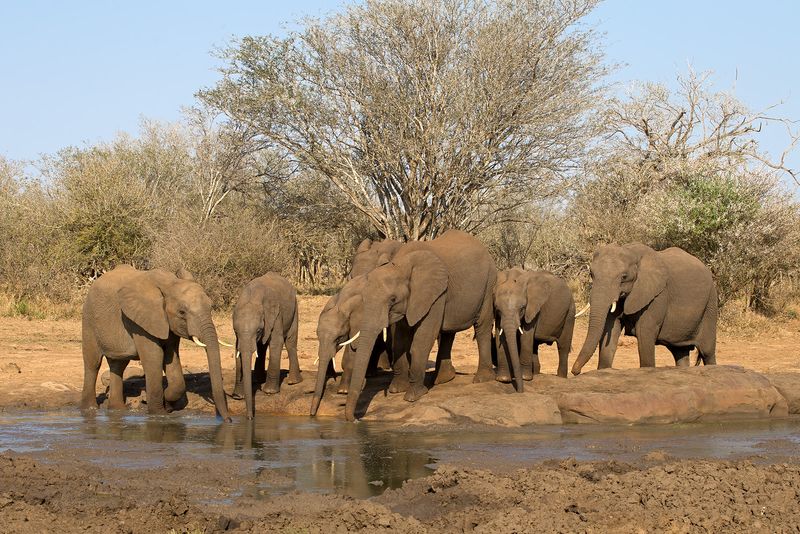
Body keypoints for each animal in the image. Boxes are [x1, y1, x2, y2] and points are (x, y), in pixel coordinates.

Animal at [81, 265, 231, 421]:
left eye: (211, 307)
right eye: (182, 312)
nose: (228, 420)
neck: (169, 284)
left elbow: (171, 358)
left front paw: (168, 403)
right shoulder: (140, 321)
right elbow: (155, 358)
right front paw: (159, 413)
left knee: (118, 365)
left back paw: (117, 410)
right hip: (89, 320)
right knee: (93, 363)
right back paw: (89, 410)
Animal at [231, 273, 301, 419]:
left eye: (258, 330)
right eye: (235, 331)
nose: (250, 417)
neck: (252, 297)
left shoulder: (276, 314)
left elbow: (276, 342)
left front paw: (269, 392)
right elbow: (237, 349)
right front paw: (237, 396)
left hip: (294, 308)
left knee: (290, 341)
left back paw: (293, 382)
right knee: (262, 347)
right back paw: (258, 380)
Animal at [344, 229, 497, 421]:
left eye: (392, 299)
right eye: (350, 278)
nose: (356, 419)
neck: (401, 261)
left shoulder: (434, 294)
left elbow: (422, 338)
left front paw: (413, 396)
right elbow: (399, 340)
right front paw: (396, 389)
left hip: (488, 284)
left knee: (482, 327)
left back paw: (481, 379)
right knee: (448, 332)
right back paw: (443, 379)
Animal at [571, 243, 718, 375]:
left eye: (624, 277)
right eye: (591, 274)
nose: (575, 371)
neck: (632, 252)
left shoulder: (658, 295)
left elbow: (644, 330)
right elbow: (610, 328)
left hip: (710, 304)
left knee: (707, 351)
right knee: (679, 352)